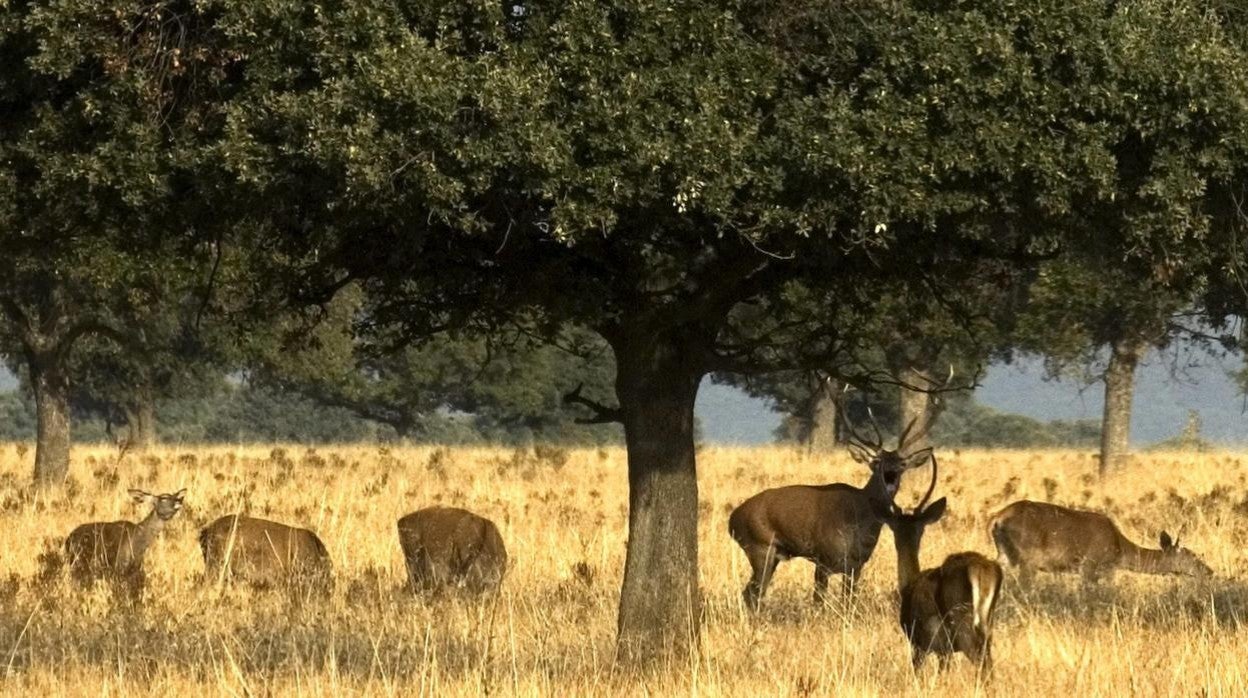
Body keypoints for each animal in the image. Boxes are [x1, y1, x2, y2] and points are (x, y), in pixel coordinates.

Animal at [728, 407, 938, 609]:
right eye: (877, 461)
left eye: (902, 463)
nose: (890, 473)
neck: (858, 519)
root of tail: (732, 520)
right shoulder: (823, 559)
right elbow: (818, 601)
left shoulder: (856, 566)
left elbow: (847, 602)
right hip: (760, 547)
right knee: (751, 593)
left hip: (771, 555)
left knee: (752, 592)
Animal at [873, 459, 1008, 679]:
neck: (909, 585)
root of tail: (980, 568)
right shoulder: (945, 651)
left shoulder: (921, 646)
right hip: (988, 628)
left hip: (964, 630)